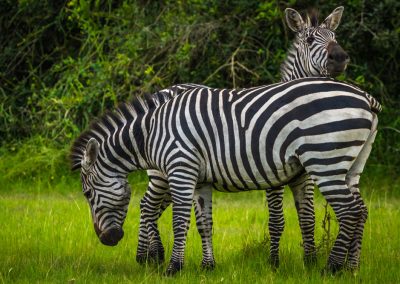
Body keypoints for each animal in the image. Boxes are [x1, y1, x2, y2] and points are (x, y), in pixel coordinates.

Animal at [71, 77, 382, 276]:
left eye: (87, 194)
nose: (108, 240)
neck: (151, 131)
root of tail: (366, 97)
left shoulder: (181, 169)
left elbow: (180, 222)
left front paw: (173, 268)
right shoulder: (201, 181)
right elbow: (204, 224)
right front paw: (208, 267)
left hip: (324, 159)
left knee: (350, 211)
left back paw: (332, 268)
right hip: (350, 165)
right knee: (361, 210)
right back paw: (352, 268)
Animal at [136, 6, 348, 268]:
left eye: (335, 37)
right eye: (309, 40)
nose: (340, 57)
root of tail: (165, 90)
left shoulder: (305, 174)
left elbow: (307, 218)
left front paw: (310, 263)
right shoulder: (272, 174)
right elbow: (276, 220)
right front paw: (274, 264)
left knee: (154, 206)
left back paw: (152, 255)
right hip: (162, 171)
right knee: (147, 205)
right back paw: (148, 256)